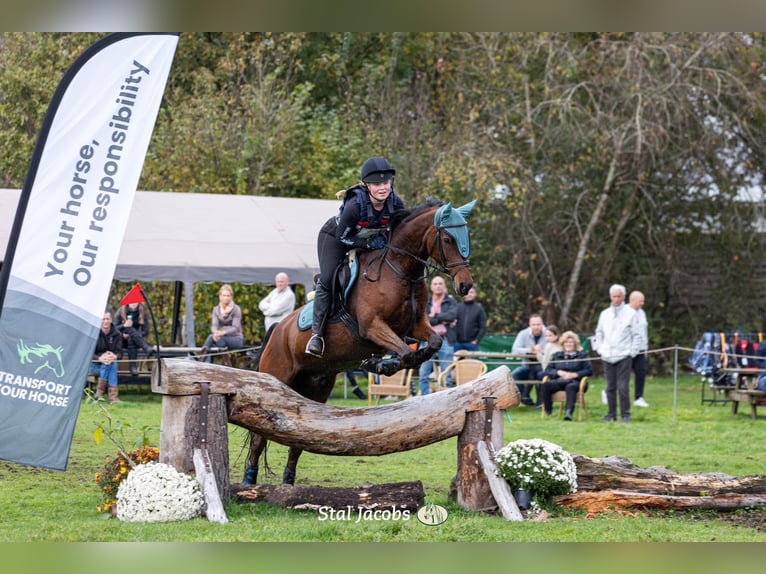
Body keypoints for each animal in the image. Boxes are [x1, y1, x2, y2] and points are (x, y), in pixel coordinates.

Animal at [249, 198, 476, 486]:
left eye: (467, 235)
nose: (465, 285)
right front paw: (382, 365)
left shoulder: (416, 325)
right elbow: (405, 352)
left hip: (315, 388)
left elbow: (433, 343)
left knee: (297, 441)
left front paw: (382, 364)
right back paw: (248, 481)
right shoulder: (372, 327)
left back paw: (287, 484)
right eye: (447, 239)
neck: (399, 269)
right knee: (257, 439)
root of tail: (277, 329)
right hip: (276, 378)